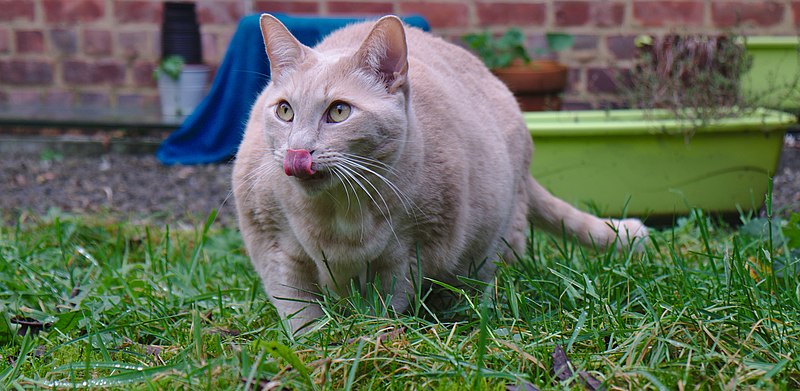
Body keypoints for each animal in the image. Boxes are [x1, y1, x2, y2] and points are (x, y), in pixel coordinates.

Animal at [233, 14, 648, 334]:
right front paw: (316, 345)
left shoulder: (410, 251)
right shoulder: (273, 247)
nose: (297, 152)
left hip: (496, 240)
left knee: (488, 274)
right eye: (285, 111)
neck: (337, 214)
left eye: (338, 111)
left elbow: (385, 306)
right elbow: (299, 313)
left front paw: (371, 338)